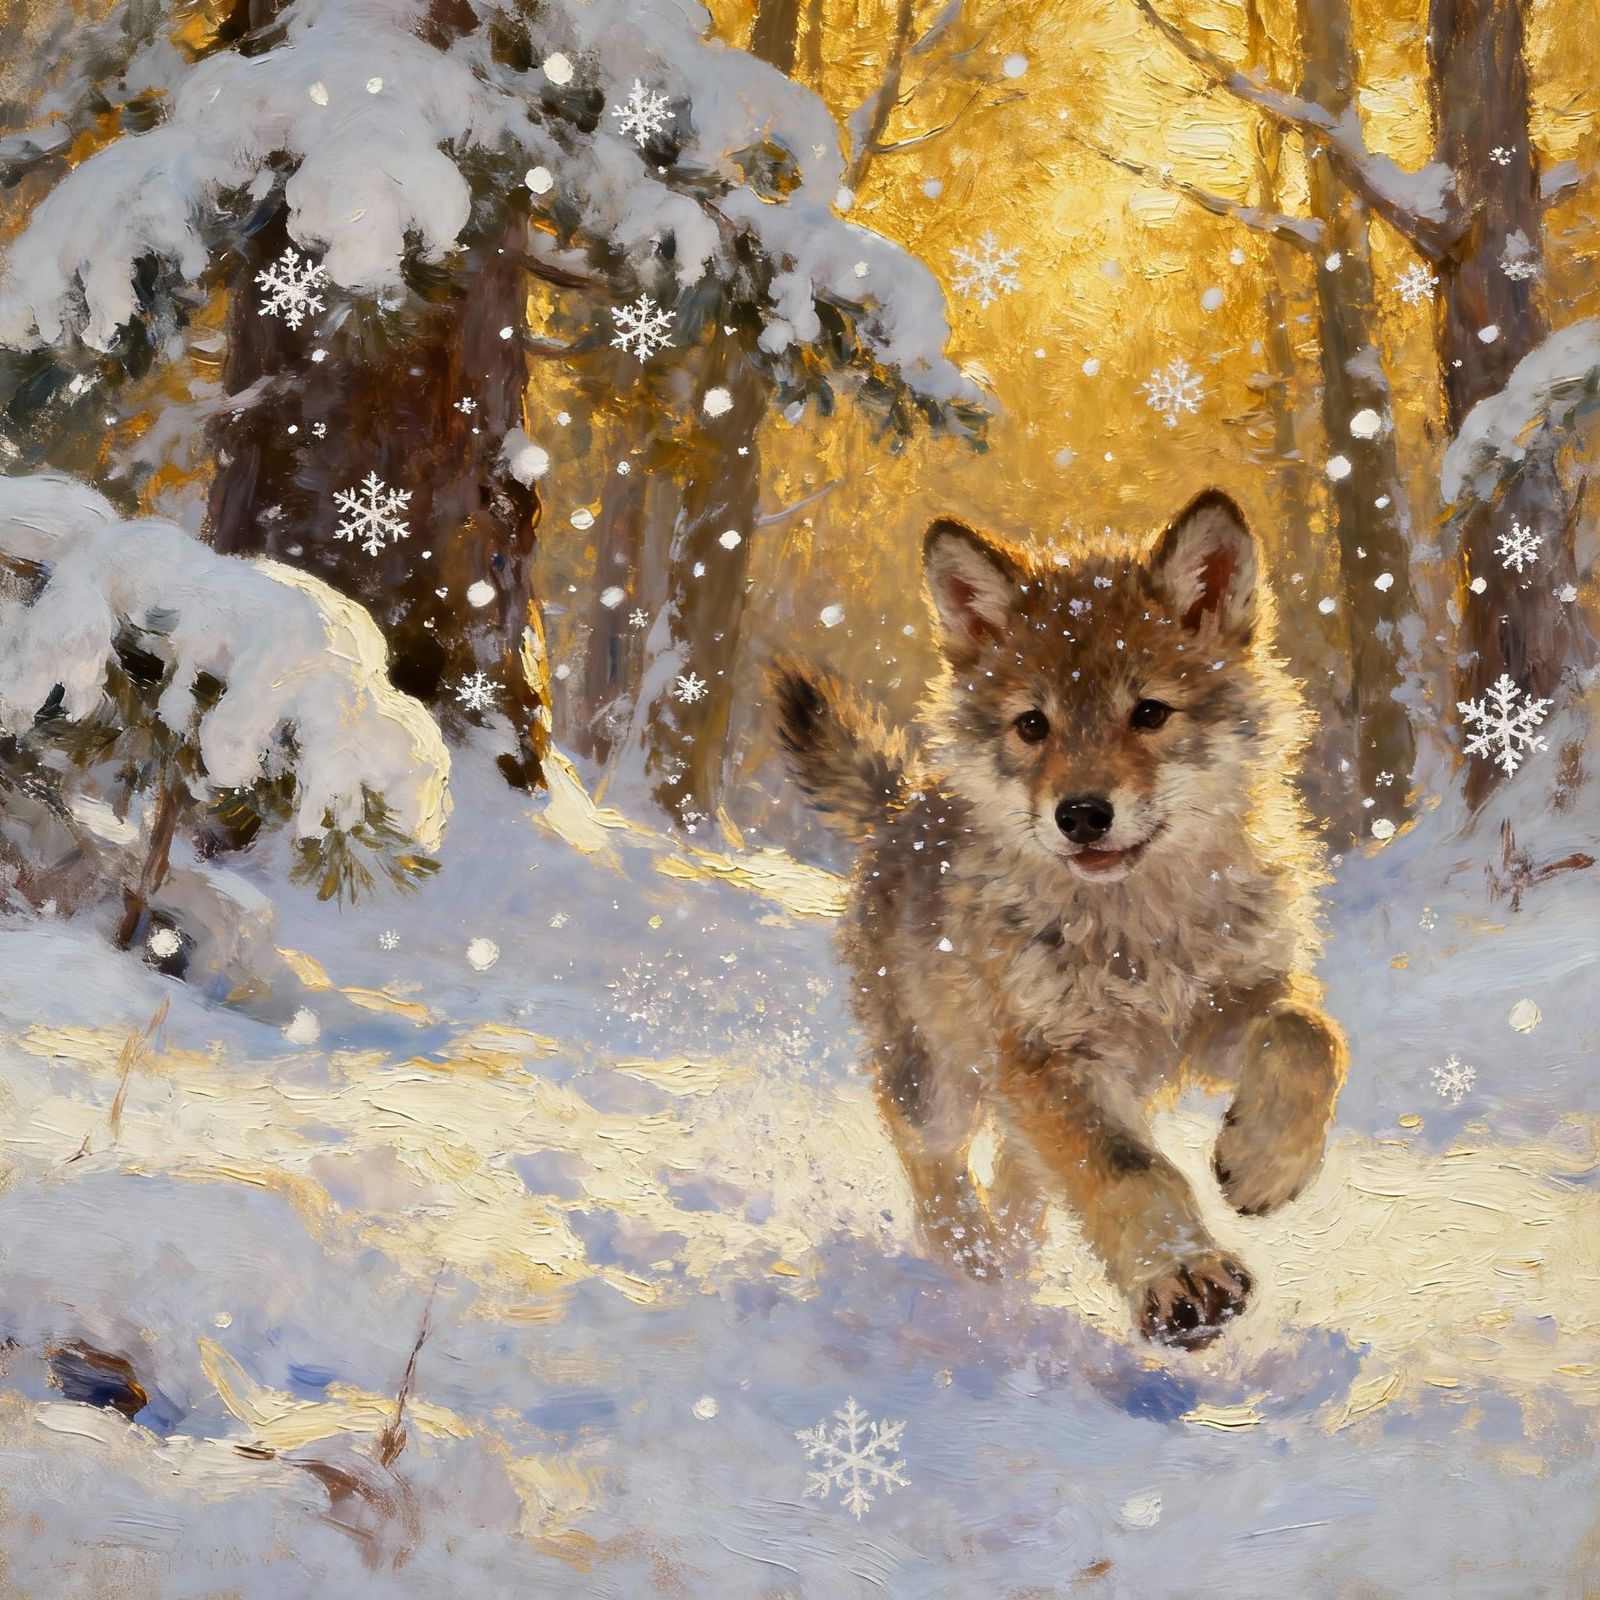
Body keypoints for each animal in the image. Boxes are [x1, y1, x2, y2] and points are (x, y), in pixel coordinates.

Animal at [772, 491, 1345, 1349]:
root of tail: (905, 805)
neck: (1139, 932)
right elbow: (1125, 1171)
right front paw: (1182, 1276)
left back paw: (1010, 1265)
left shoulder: (1225, 1010)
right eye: (1033, 726)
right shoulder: (1047, 1060)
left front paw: (1266, 1162)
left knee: (1022, 1177)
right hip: (939, 1084)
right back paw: (970, 1272)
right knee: (935, 1168)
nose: (1080, 814)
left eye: (1149, 713)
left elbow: (1309, 1037)